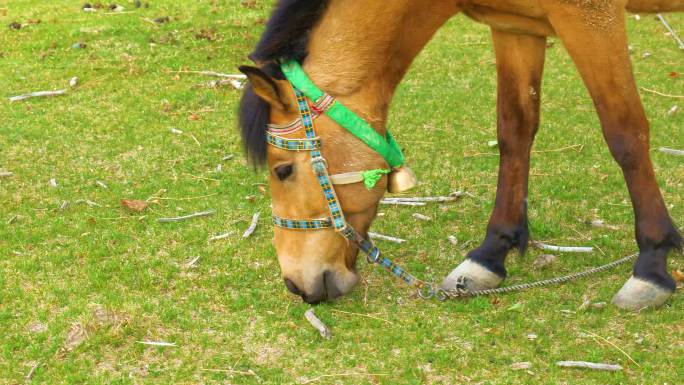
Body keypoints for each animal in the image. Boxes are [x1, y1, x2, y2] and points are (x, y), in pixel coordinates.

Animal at [238, 0, 680, 308]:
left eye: (282, 171)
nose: (295, 283)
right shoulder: (514, 25)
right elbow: (514, 130)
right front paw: (491, 253)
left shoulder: (592, 18)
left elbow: (625, 133)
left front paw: (653, 262)